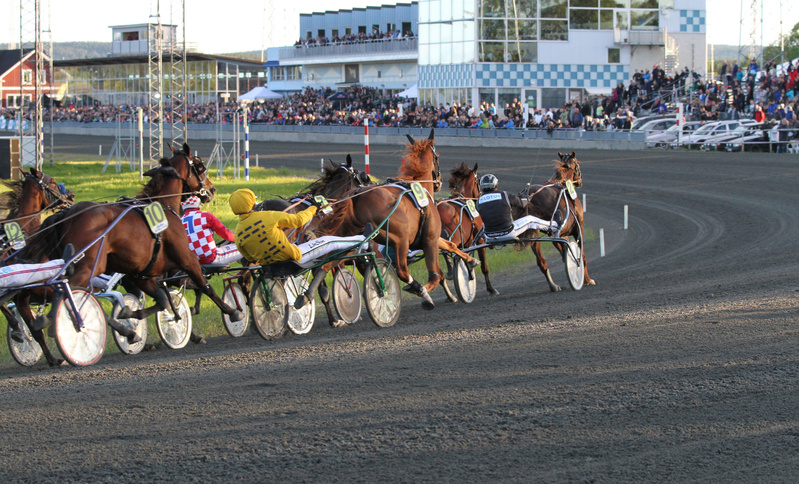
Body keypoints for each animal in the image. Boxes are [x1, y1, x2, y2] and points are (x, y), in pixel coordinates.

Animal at [14, 144, 241, 366]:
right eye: (200, 166)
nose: (211, 189)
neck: (163, 206)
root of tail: (67, 215)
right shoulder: (187, 259)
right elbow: (205, 286)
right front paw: (232, 311)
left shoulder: (142, 275)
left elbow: (162, 301)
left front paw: (130, 316)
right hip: (88, 267)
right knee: (67, 293)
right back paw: (67, 325)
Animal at [438, 163, 500, 296]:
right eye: (478, 181)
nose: (480, 195)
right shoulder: (480, 241)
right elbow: (484, 267)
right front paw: (491, 289)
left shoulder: (466, 244)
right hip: (454, 237)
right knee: (447, 248)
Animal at [520, 151, 592, 292]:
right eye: (578, 162)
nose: (580, 180)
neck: (563, 185)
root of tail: (529, 195)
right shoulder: (578, 227)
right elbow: (582, 255)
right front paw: (587, 279)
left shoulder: (562, 234)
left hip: (534, 233)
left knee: (541, 262)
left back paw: (553, 285)